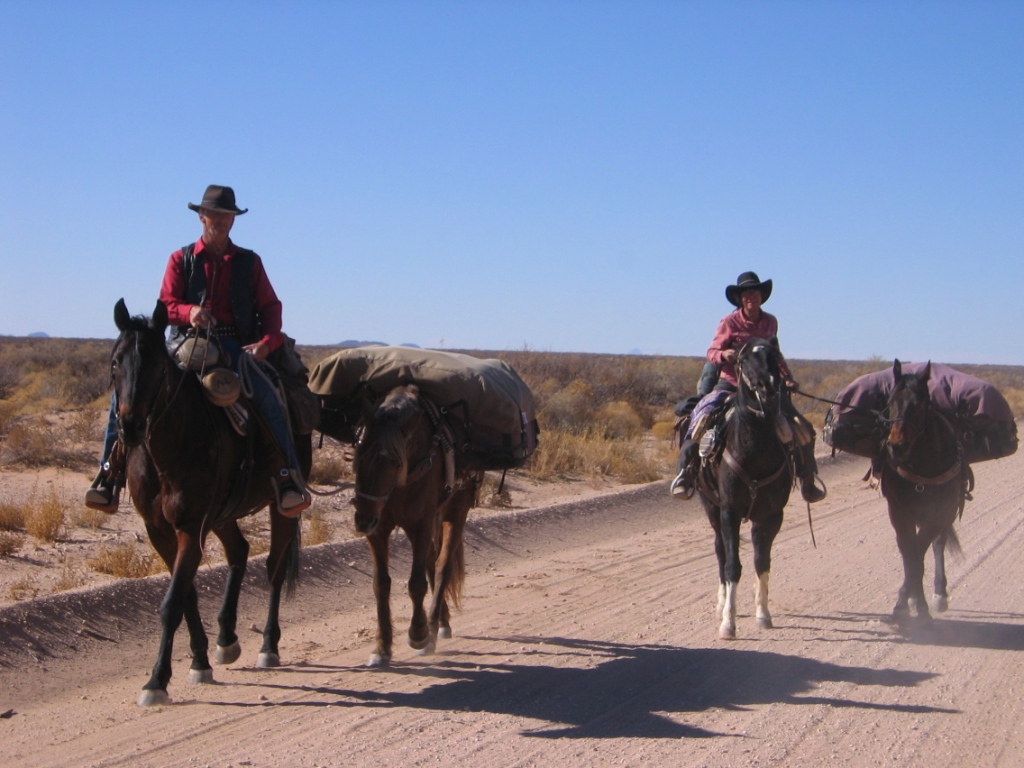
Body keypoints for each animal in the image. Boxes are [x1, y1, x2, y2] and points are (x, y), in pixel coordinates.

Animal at [112, 296, 309, 708]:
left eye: (157, 365)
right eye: (115, 362)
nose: (130, 426)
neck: (166, 452)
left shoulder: (190, 526)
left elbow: (172, 602)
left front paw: (156, 681)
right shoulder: (159, 531)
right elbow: (185, 593)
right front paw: (199, 660)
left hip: (279, 506)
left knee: (274, 568)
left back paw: (268, 646)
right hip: (222, 514)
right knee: (239, 551)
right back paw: (226, 638)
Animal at [350, 385, 481, 667]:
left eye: (396, 463)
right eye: (358, 454)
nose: (362, 520)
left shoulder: (420, 526)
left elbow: (416, 583)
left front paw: (419, 633)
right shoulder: (378, 532)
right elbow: (381, 584)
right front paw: (381, 648)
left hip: (456, 512)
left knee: (442, 567)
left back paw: (432, 629)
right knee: (433, 562)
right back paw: (441, 621)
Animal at [696, 339, 798, 638]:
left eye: (774, 356)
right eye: (743, 360)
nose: (768, 385)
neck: (754, 453)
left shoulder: (772, 515)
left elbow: (762, 562)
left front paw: (763, 614)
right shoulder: (730, 511)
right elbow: (732, 566)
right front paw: (728, 624)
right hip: (712, 508)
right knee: (720, 549)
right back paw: (721, 604)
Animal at [880, 364, 966, 622]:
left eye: (919, 404)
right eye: (891, 401)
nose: (896, 446)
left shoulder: (937, 514)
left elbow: (918, 555)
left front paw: (919, 606)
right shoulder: (899, 514)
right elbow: (909, 554)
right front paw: (904, 604)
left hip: (946, 514)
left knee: (938, 544)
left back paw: (939, 594)